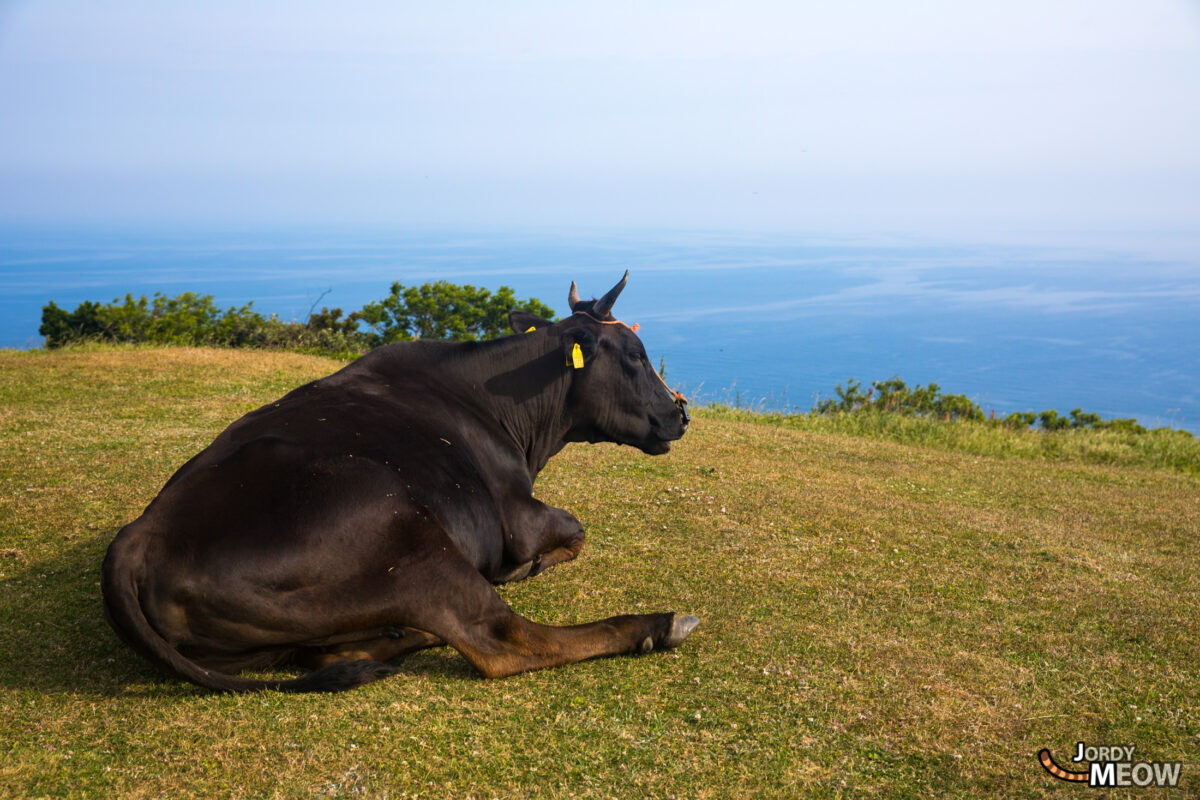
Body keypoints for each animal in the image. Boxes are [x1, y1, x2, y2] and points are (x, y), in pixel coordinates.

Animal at [104, 272, 700, 690]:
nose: (681, 412)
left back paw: (401, 636)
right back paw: (658, 625)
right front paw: (527, 567)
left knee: (321, 651)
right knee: (503, 640)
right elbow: (575, 530)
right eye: (636, 356)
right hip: (402, 529)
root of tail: (138, 537)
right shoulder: (518, 514)